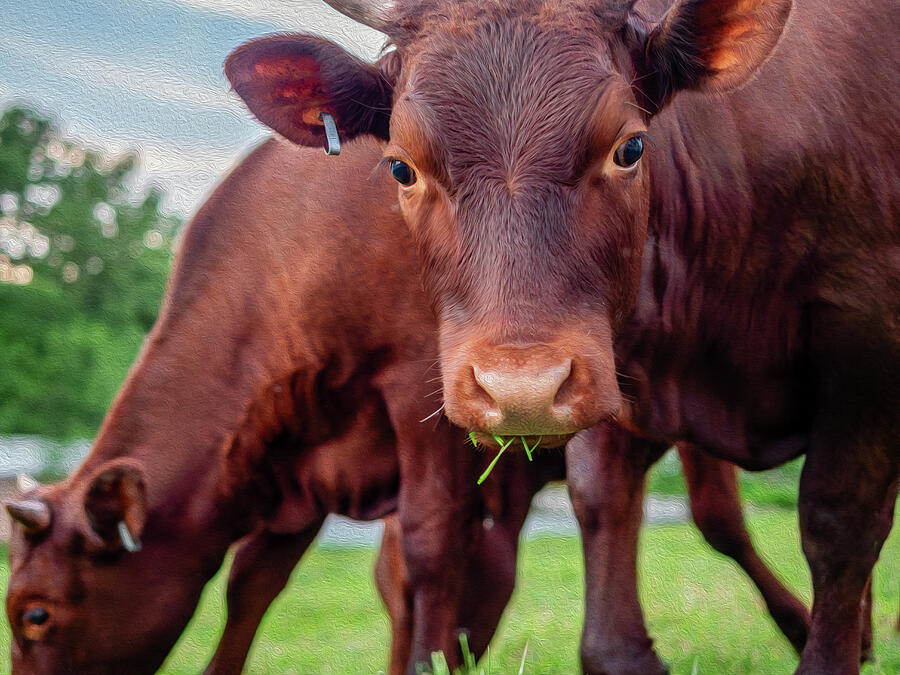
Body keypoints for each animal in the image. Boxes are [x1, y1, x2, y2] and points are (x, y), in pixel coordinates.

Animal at [6, 138, 809, 674]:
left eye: (35, 614)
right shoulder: (301, 463)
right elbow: (255, 583)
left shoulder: (418, 388)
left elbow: (426, 550)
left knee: (716, 516)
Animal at [225, 0, 899, 673]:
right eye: (400, 166)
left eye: (630, 147)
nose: (520, 390)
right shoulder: (616, 374)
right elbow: (608, 564)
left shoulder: (867, 335)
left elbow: (838, 519)